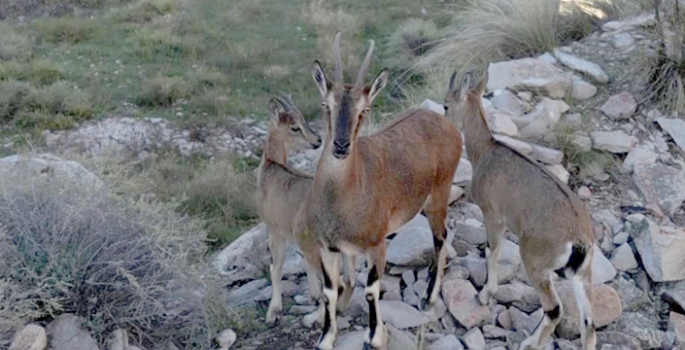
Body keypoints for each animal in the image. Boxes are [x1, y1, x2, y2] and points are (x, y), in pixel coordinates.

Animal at [255, 94, 356, 326]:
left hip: (320, 249)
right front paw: (313, 295)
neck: (272, 167)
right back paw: (340, 308)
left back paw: (312, 319)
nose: (317, 141)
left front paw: (273, 312)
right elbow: (304, 265)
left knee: (337, 285)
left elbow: (276, 268)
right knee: (349, 281)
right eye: (295, 126)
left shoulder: (275, 230)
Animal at [296, 33, 462, 350]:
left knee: (441, 238)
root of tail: (445, 121)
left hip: (439, 193)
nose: (341, 146)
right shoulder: (328, 247)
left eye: (365, 109)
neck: (342, 199)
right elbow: (329, 291)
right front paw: (326, 336)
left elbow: (372, 290)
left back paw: (429, 296)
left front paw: (374, 336)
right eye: (326, 104)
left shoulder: (376, 245)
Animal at [444, 71, 592, 350]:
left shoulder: (493, 215)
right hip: (581, 274)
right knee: (587, 322)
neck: (486, 150)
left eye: (446, 105)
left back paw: (529, 343)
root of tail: (579, 240)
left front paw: (485, 295)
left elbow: (492, 251)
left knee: (554, 309)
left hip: (534, 260)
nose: (443, 122)